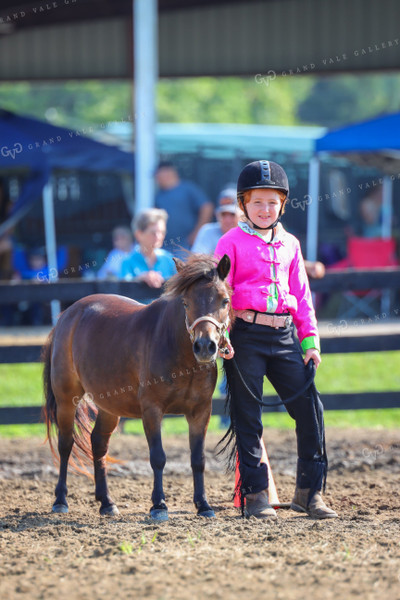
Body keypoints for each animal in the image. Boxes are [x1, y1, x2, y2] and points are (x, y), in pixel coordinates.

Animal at [42, 253, 231, 520]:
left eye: (224, 300)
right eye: (185, 303)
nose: (205, 347)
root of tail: (67, 315)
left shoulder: (200, 412)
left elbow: (198, 458)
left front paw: (203, 505)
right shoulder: (152, 410)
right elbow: (158, 457)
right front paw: (159, 505)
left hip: (109, 405)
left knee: (98, 443)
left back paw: (107, 502)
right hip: (67, 399)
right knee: (66, 444)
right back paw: (60, 500)